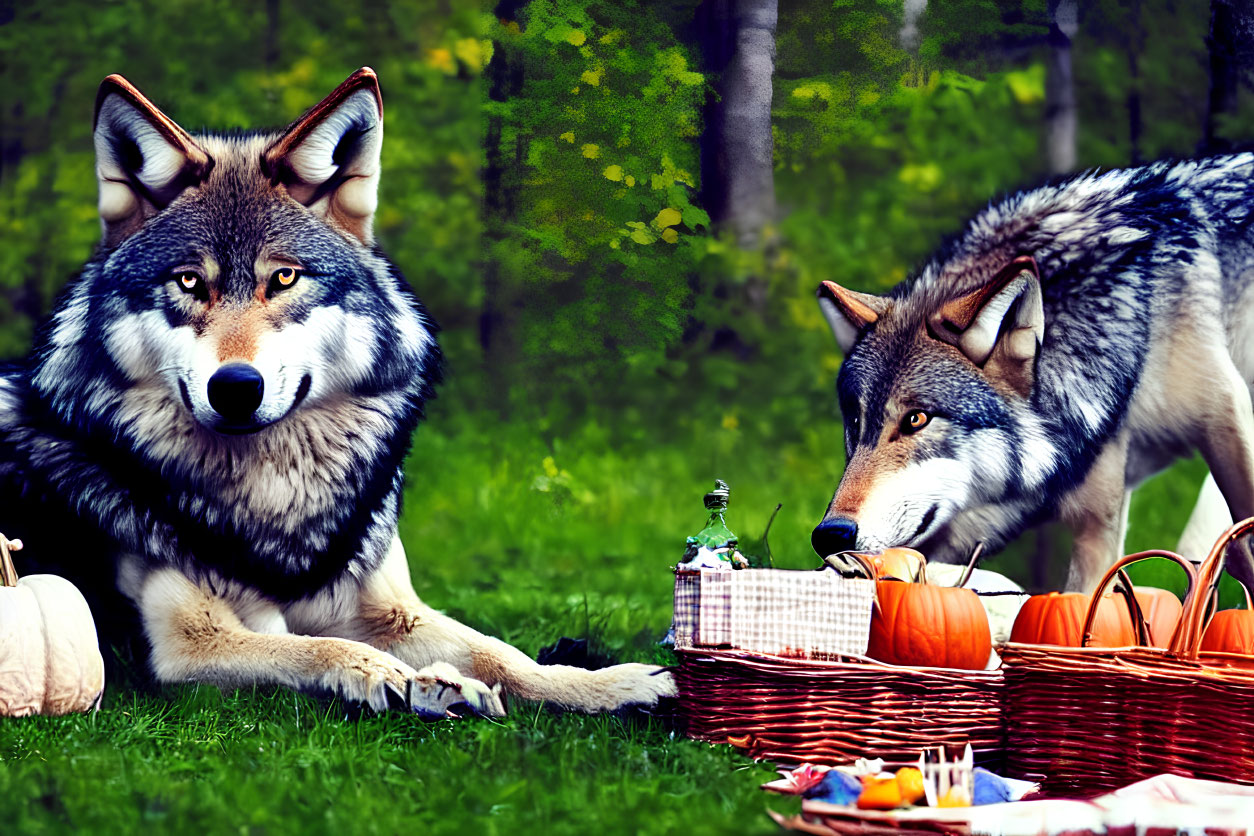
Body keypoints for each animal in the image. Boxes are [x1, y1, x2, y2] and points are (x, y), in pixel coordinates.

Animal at [0, 68, 677, 716]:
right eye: (190, 282)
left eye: (284, 278)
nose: (236, 388)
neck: (275, 502)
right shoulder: (189, 644)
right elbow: (316, 646)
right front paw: (406, 678)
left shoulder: (395, 610)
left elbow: (501, 653)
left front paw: (610, 683)